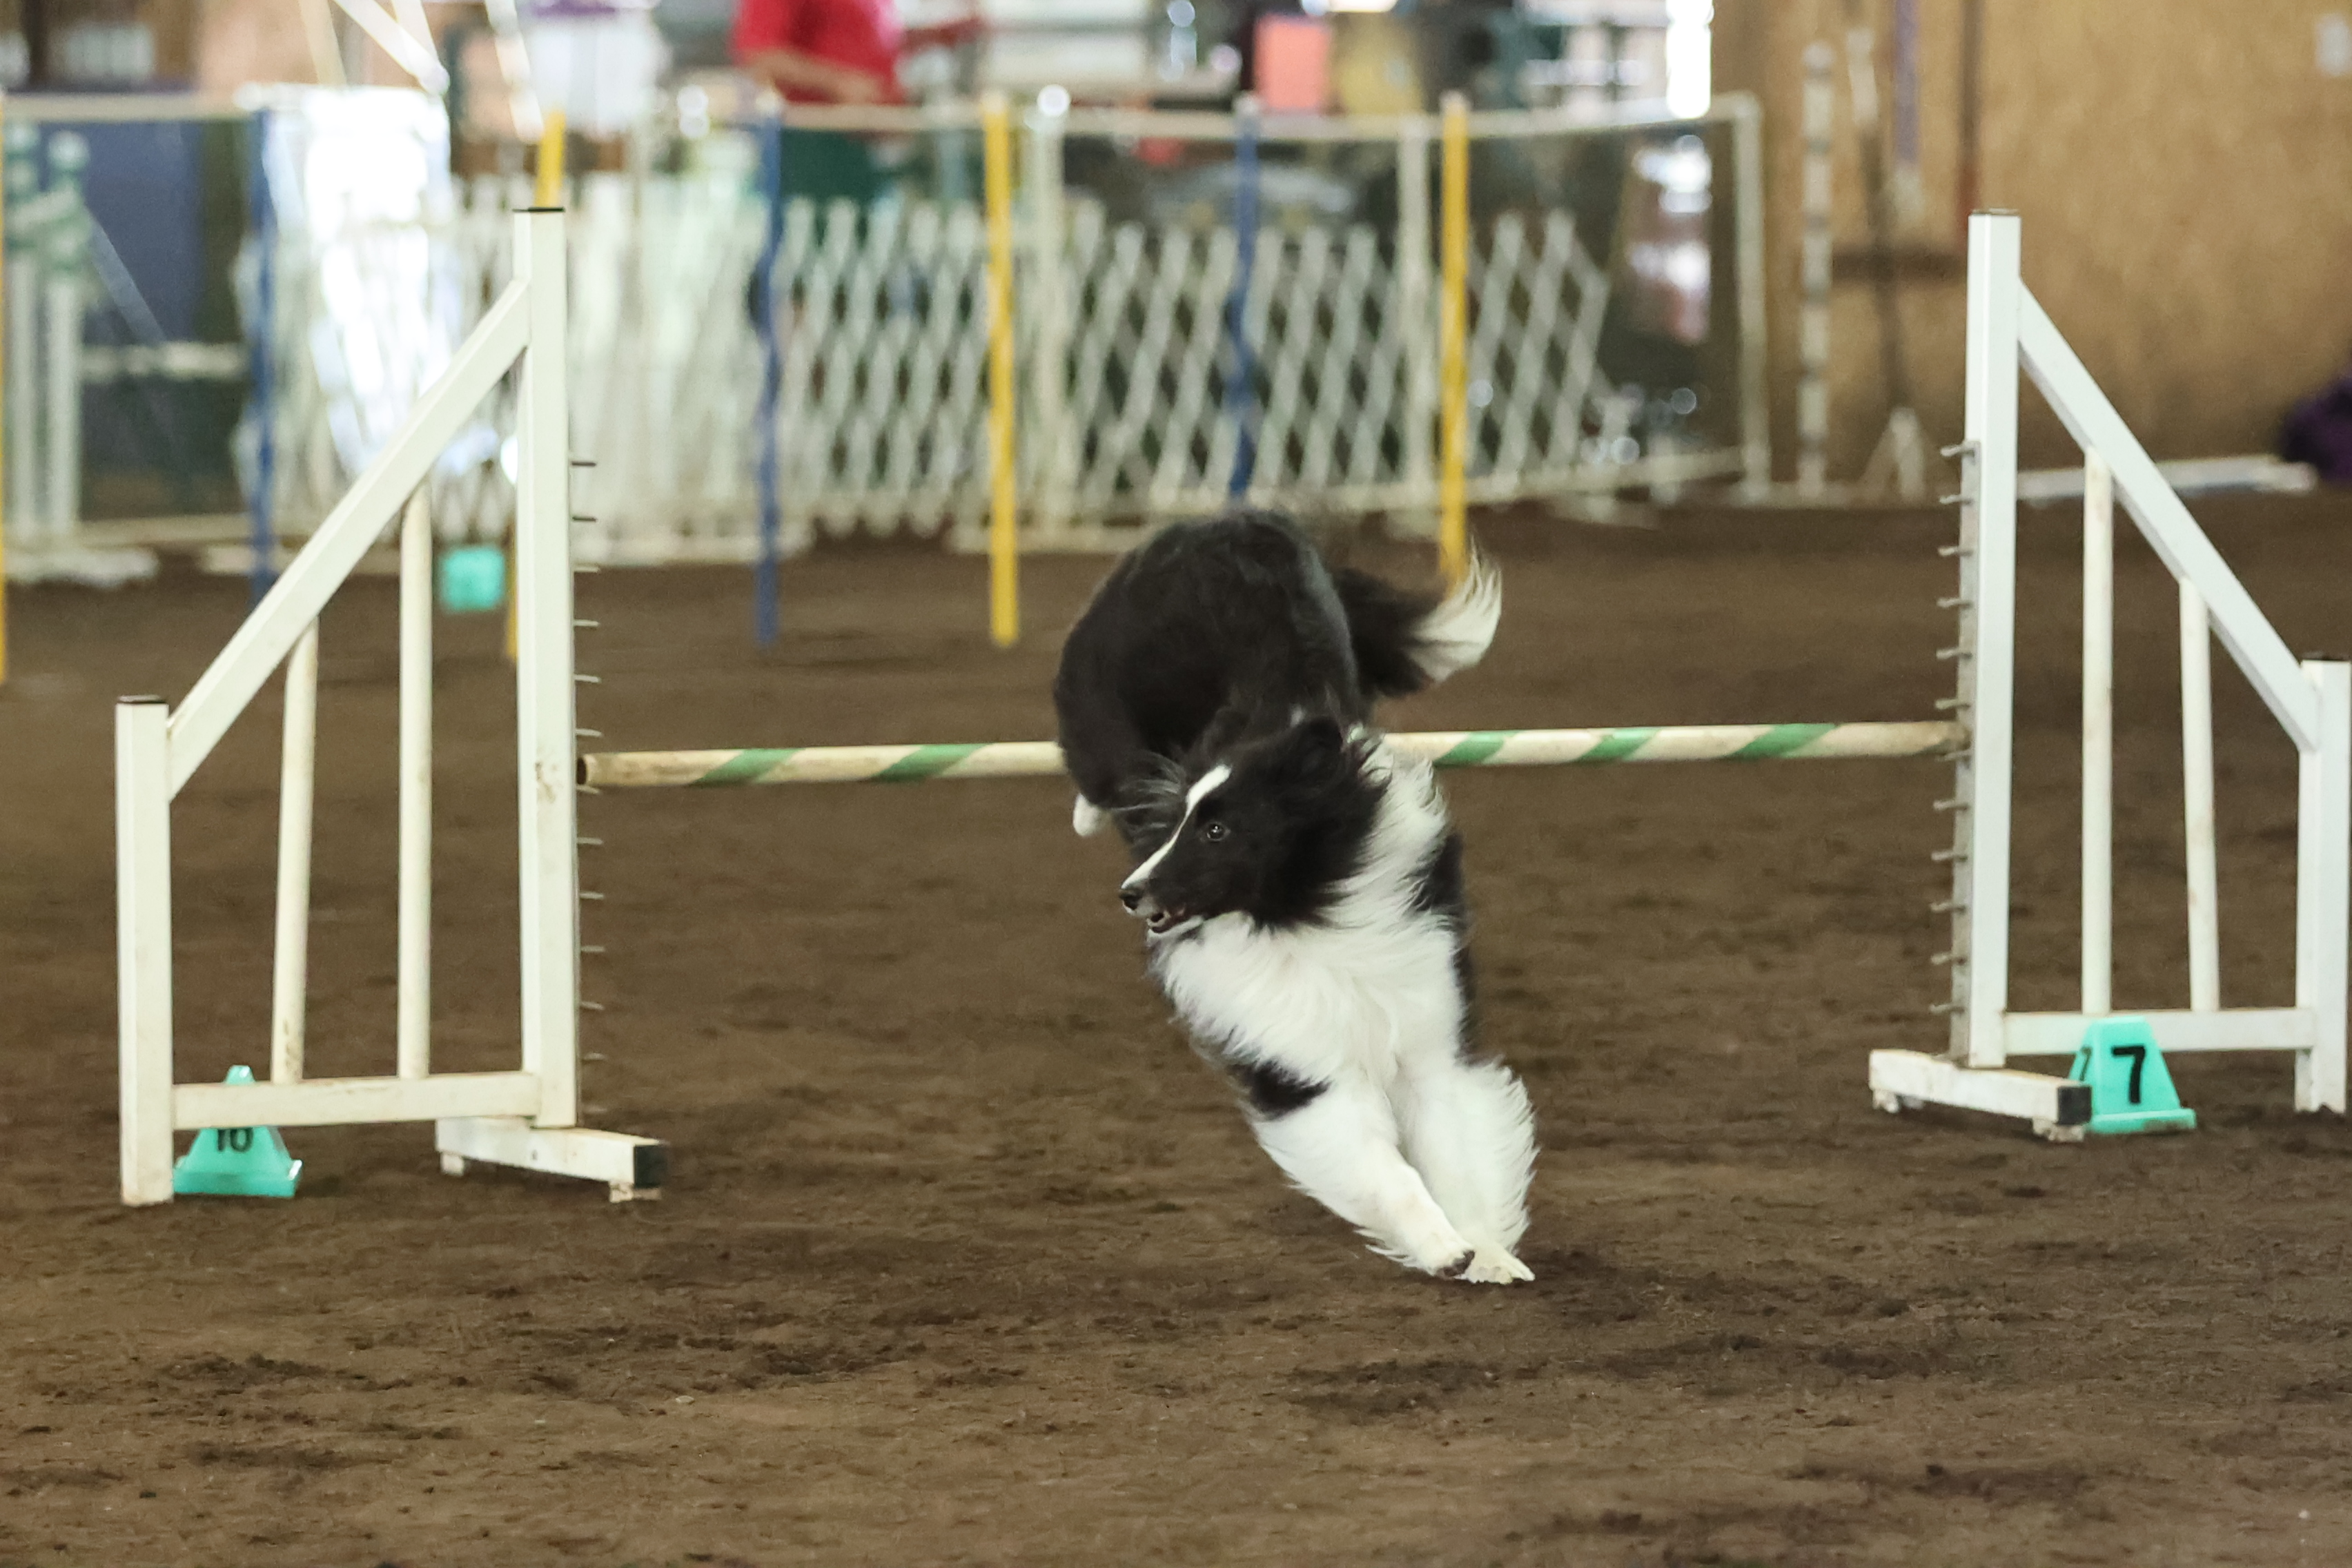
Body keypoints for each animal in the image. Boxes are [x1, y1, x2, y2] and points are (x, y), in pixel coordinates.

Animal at [1054, 511, 1535, 1283]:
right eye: (1177, 823)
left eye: (1217, 829)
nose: (1132, 893)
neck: (1304, 913)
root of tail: (1226, 519)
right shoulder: (1303, 1063)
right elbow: (1389, 1170)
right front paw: (1441, 1246)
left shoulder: (1427, 1026)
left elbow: (1453, 1151)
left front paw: (1487, 1251)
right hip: (1096, 701)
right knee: (1093, 769)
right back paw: (1086, 812)